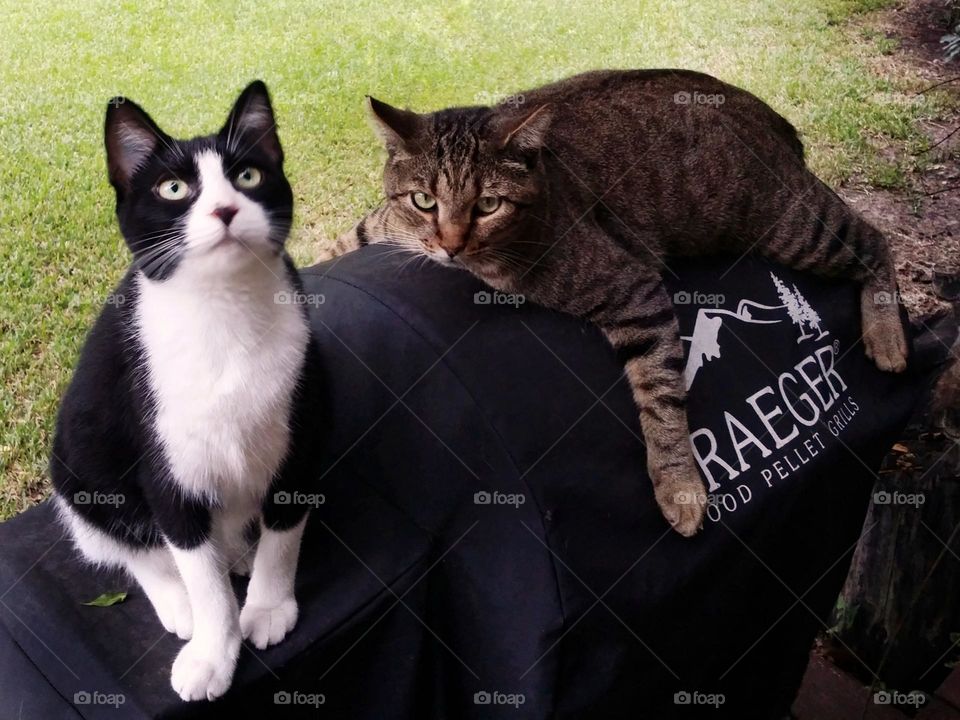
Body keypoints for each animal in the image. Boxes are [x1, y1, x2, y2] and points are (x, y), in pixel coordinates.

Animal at [51, 81, 322, 700]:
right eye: (173, 188)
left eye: (248, 175)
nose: (225, 209)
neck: (223, 313)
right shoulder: (163, 457)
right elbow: (195, 565)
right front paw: (212, 650)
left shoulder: (300, 426)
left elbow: (285, 530)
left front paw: (268, 606)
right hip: (79, 464)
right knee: (127, 542)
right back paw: (177, 599)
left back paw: (239, 552)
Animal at [344, 70, 908, 536]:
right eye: (423, 200)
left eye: (488, 205)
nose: (450, 245)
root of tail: (757, 104)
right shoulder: (379, 226)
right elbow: (353, 237)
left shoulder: (635, 290)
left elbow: (661, 398)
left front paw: (679, 484)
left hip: (792, 228)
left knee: (876, 241)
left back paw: (888, 337)